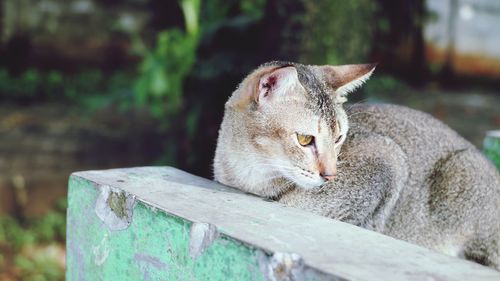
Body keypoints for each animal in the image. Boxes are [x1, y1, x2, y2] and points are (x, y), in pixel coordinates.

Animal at [213, 60, 500, 266]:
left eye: (339, 137)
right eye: (305, 139)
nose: (330, 174)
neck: (248, 175)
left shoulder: (388, 157)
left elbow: (301, 204)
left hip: (461, 172)